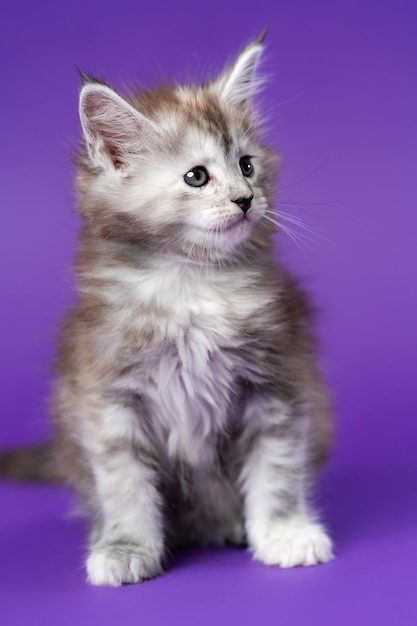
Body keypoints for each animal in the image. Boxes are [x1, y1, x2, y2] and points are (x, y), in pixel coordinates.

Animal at [0, 34, 334, 584]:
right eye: (196, 176)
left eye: (247, 165)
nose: (246, 199)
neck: (190, 284)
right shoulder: (108, 397)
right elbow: (125, 484)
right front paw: (126, 548)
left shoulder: (278, 379)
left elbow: (278, 470)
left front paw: (285, 533)